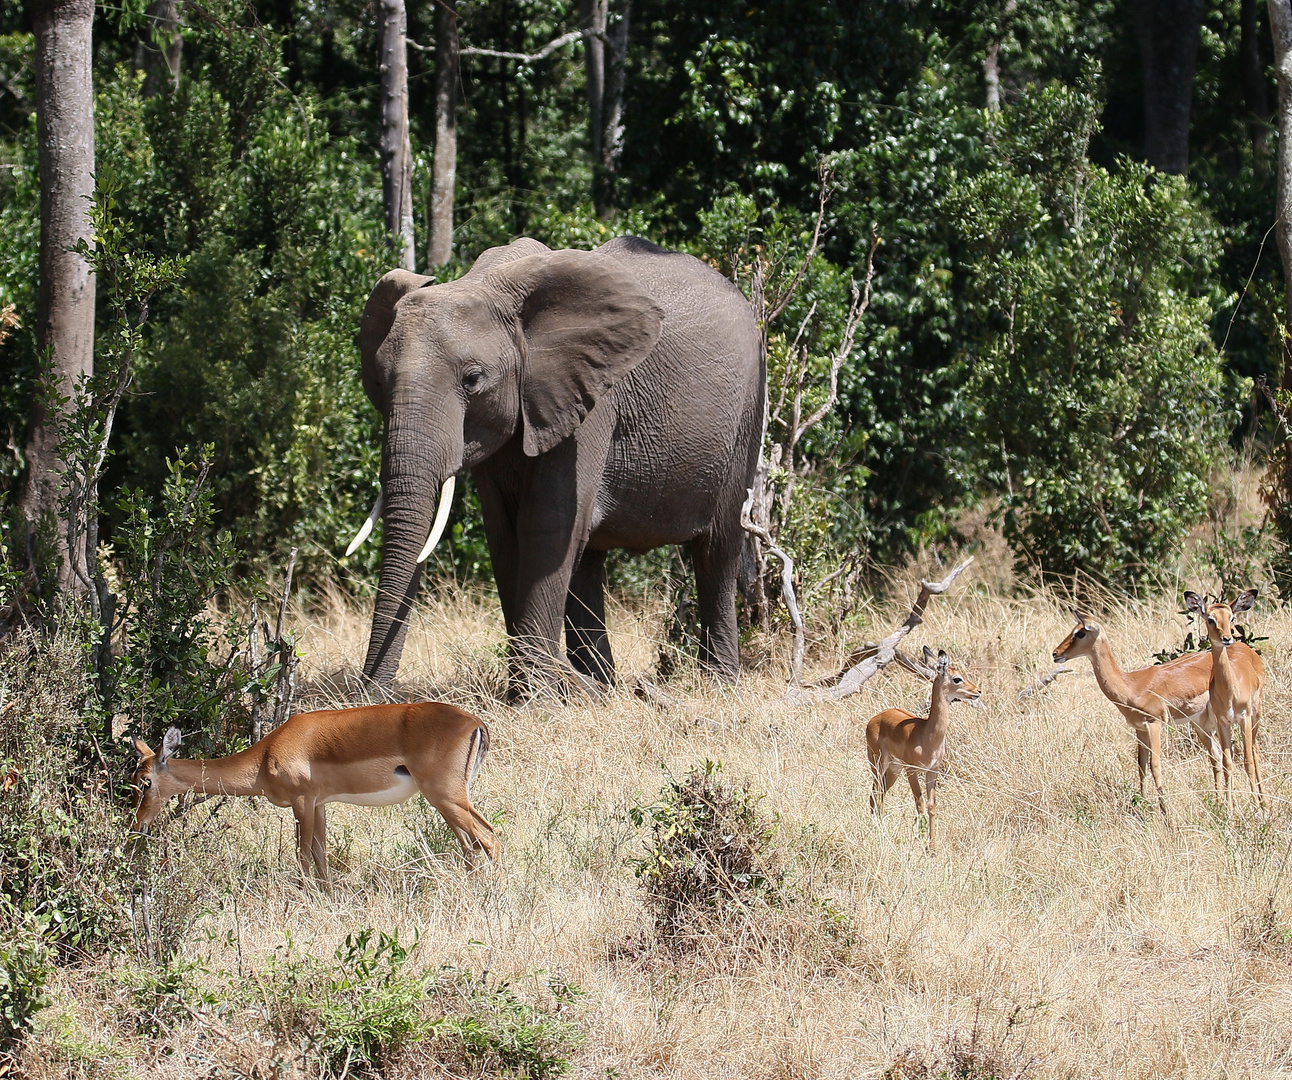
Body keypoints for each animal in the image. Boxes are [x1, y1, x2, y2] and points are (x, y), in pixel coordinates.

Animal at [348, 233, 759, 692]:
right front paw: (533, 692)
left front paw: (535, 697)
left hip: (746, 413)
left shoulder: (590, 398)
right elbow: (505, 533)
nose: (371, 692)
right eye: (380, 380)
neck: (487, 284)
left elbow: (546, 524)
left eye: (473, 379)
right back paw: (600, 686)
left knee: (717, 551)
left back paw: (717, 683)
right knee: (588, 560)